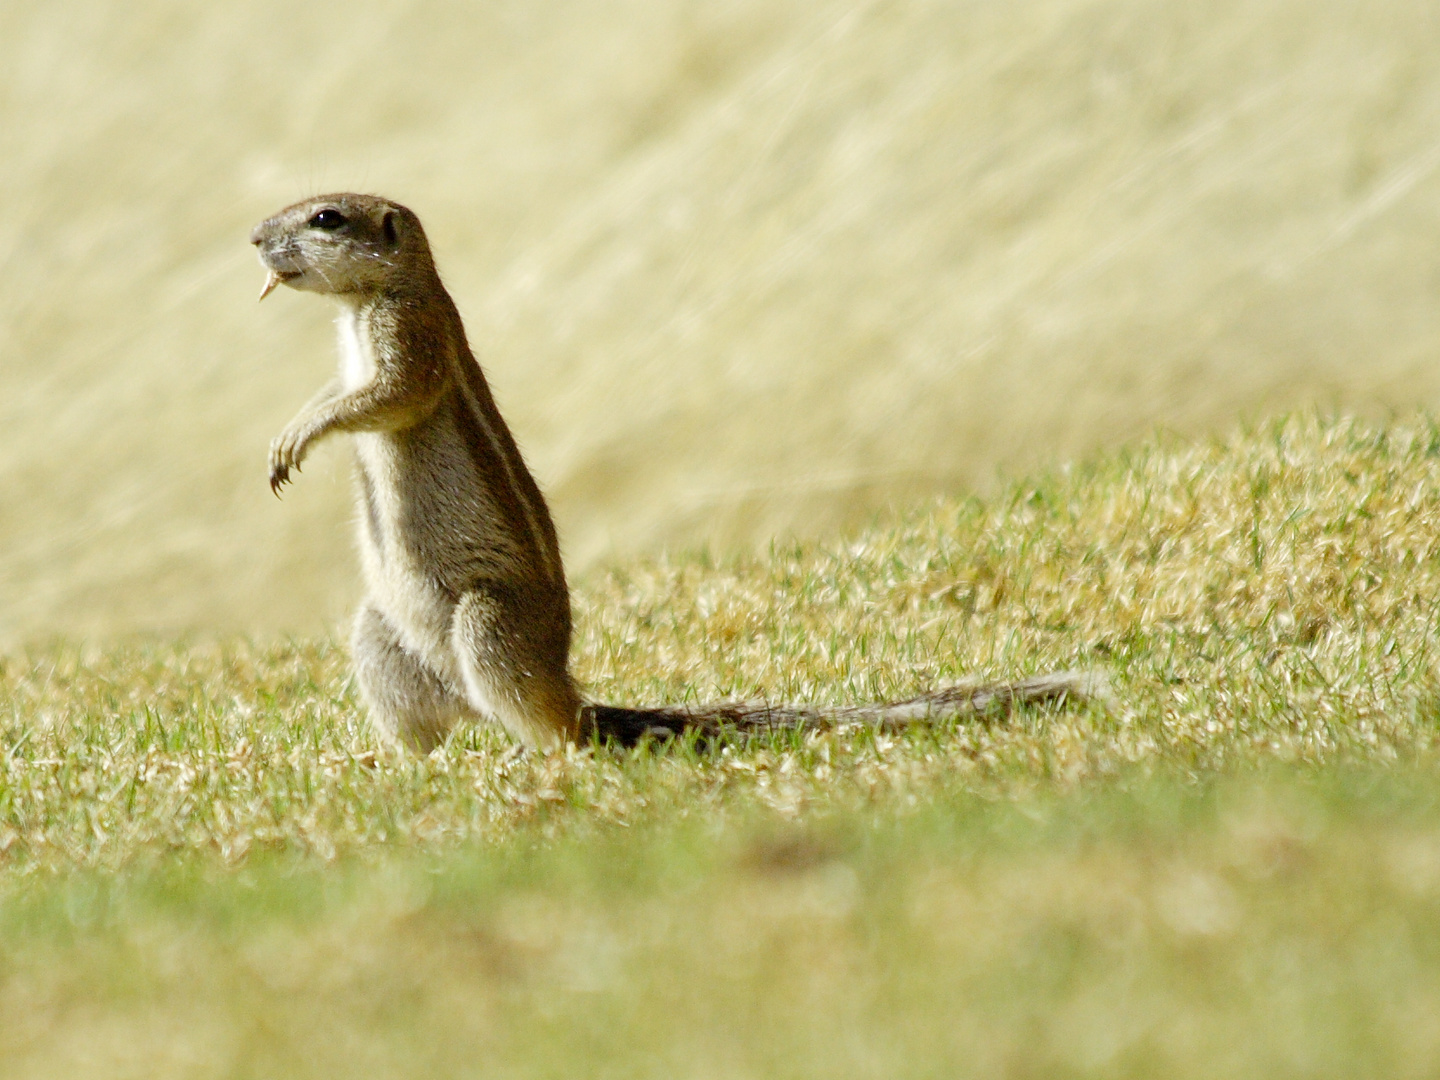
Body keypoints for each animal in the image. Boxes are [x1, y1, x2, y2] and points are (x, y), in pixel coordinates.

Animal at [250, 194, 1100, 754]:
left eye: (326, 218)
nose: (254, 235)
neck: (368, 300)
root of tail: (573, 696)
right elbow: (337, 392)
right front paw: (286, 437)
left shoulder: (409, 338)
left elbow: (383, 396)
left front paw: (298, 438)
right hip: (379, 633)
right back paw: (403, 762)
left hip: (486, 622)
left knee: (557, 733)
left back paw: (542, 756)